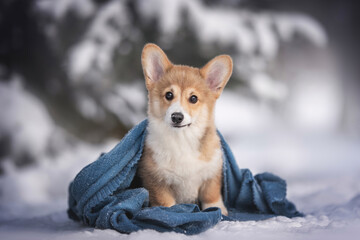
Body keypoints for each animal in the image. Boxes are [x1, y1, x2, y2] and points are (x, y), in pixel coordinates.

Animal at [138, 43, 233, 216]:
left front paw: (220, 210)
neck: (182, 139)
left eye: (193, 98)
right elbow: (166, 202)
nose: (177, 117)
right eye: (169, 95)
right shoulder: (155, 179)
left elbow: (211, 194)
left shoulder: (212, 171)